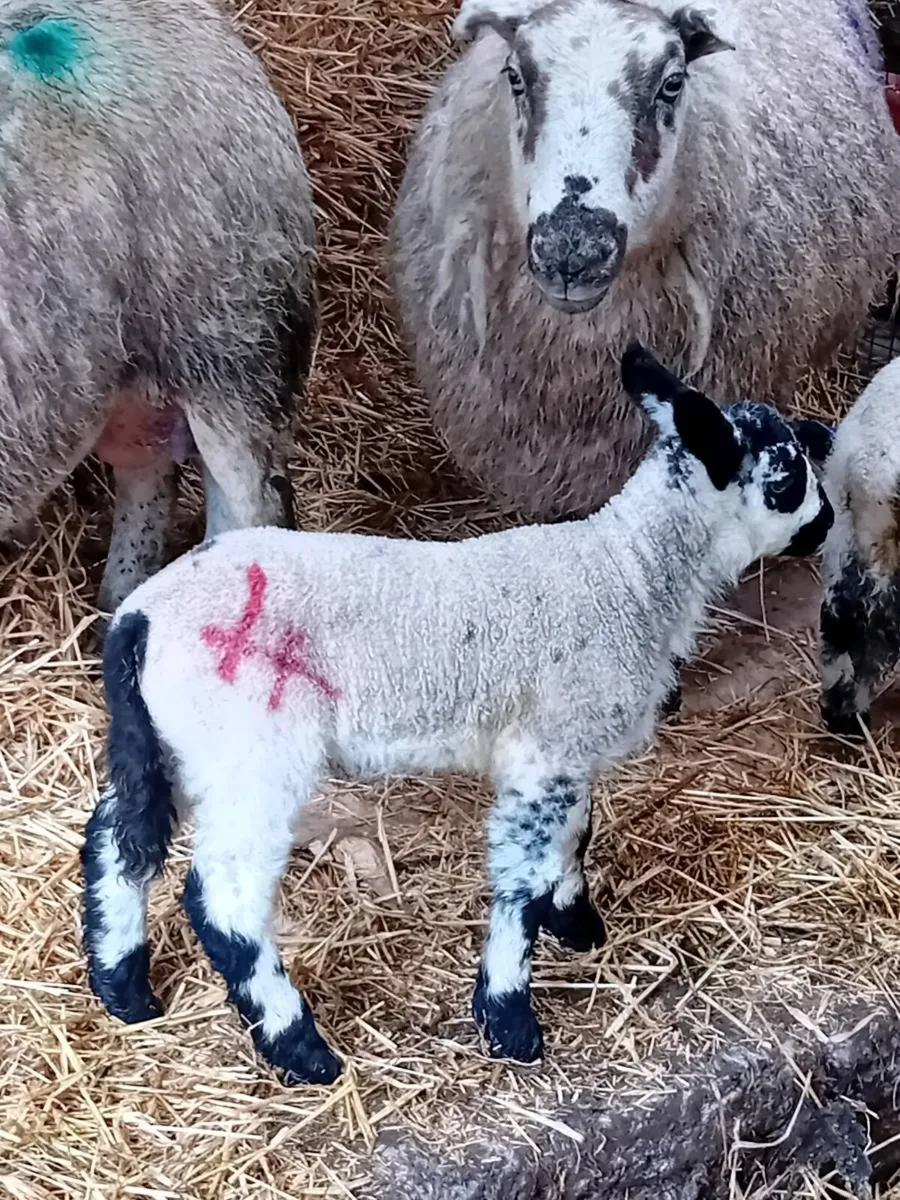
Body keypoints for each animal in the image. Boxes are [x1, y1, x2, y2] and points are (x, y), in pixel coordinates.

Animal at [81, 344, 834, 1084]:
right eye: (787, 475)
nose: (827, 523)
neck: (630, 576)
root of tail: (142, 619)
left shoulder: (566, 746)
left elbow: (574, 836)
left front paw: (577, 924)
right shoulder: (545, 750)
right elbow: (521, 880)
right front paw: (509, 1018)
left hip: (171, 743)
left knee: (118, 840)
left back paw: (125, 992)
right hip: (253, 748)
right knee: (226, 895)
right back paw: (301, 1048)